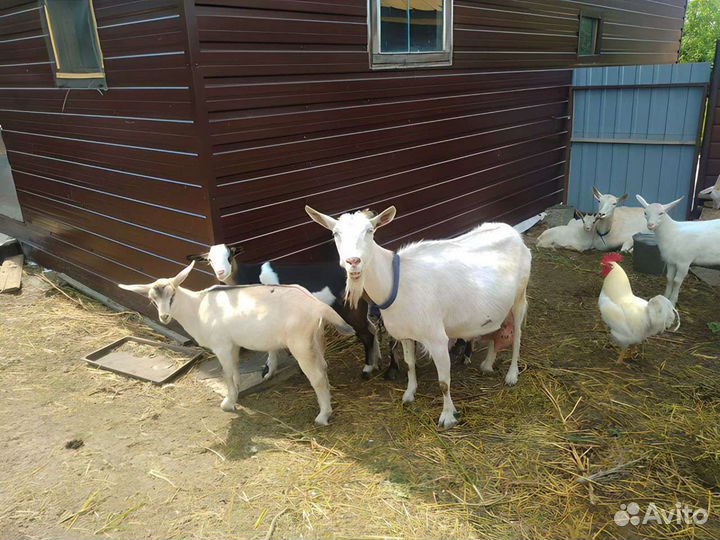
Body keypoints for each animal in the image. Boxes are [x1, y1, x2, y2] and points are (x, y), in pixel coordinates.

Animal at [119, 262, 354, 425]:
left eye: (172, 295)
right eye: (152, 299)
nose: (164, 317)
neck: (197, 308)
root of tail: (317, 307)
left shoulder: (221, 345)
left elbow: (227, 374)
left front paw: (228, 403)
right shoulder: (232, 345)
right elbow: (235, 372)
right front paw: (236, 396)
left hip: (301, 344)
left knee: (317, 377)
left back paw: (322, 416)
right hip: (316, 339)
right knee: (323, 367)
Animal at [187, 244, 396, 380]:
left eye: (230, 255)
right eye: (209, 260)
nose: (221, 272)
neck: (248, 276)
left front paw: (268, 370)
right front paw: (269, 370)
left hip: (350, 309)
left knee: (366, 334)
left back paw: (367, 369)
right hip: (360, 307)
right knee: (372, 328)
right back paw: (376, 361)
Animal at [306, 205, 531, 429]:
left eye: (370, 231)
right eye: (336, 233)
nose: (353, 261)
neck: (396, 282)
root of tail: (512, 232)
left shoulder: (437, 339)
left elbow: (443, 382)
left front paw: (447, 416)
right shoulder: (406, 334)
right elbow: (409, 364)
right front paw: (409, 394)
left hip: (519, 297)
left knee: (518, 335)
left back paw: (512, 375)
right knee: (498, 329)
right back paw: (487, 365)